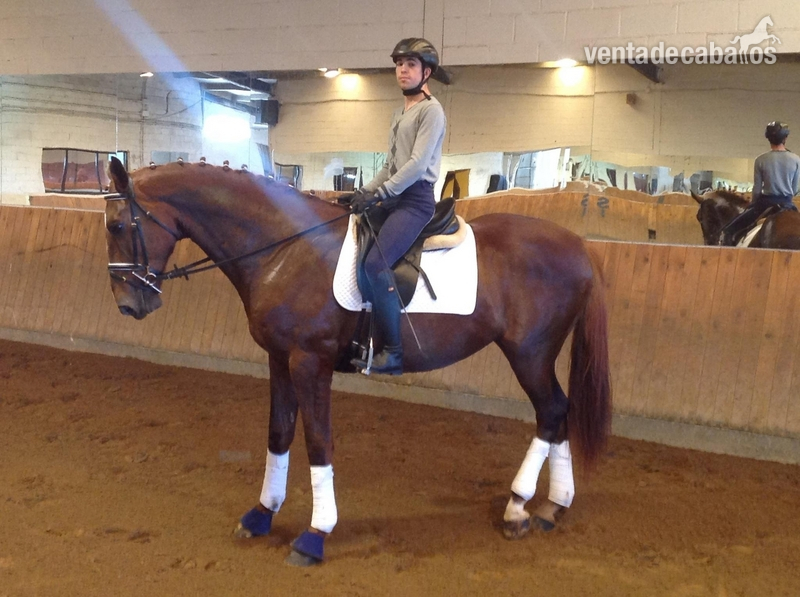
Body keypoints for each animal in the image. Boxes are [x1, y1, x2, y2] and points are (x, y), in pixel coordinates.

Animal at [103, 157, 611, 566]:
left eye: (116, 226)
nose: (127, 306)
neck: (286, 249)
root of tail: (579, 245)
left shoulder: (310, 362)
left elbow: (318, 442)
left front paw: (314, 536)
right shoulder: (278, 359)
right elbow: (278, 435)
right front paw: (261, 514)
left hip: (529, 354)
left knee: (551, 412)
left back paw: (517, 508)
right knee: (559, 413)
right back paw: (552, 507)